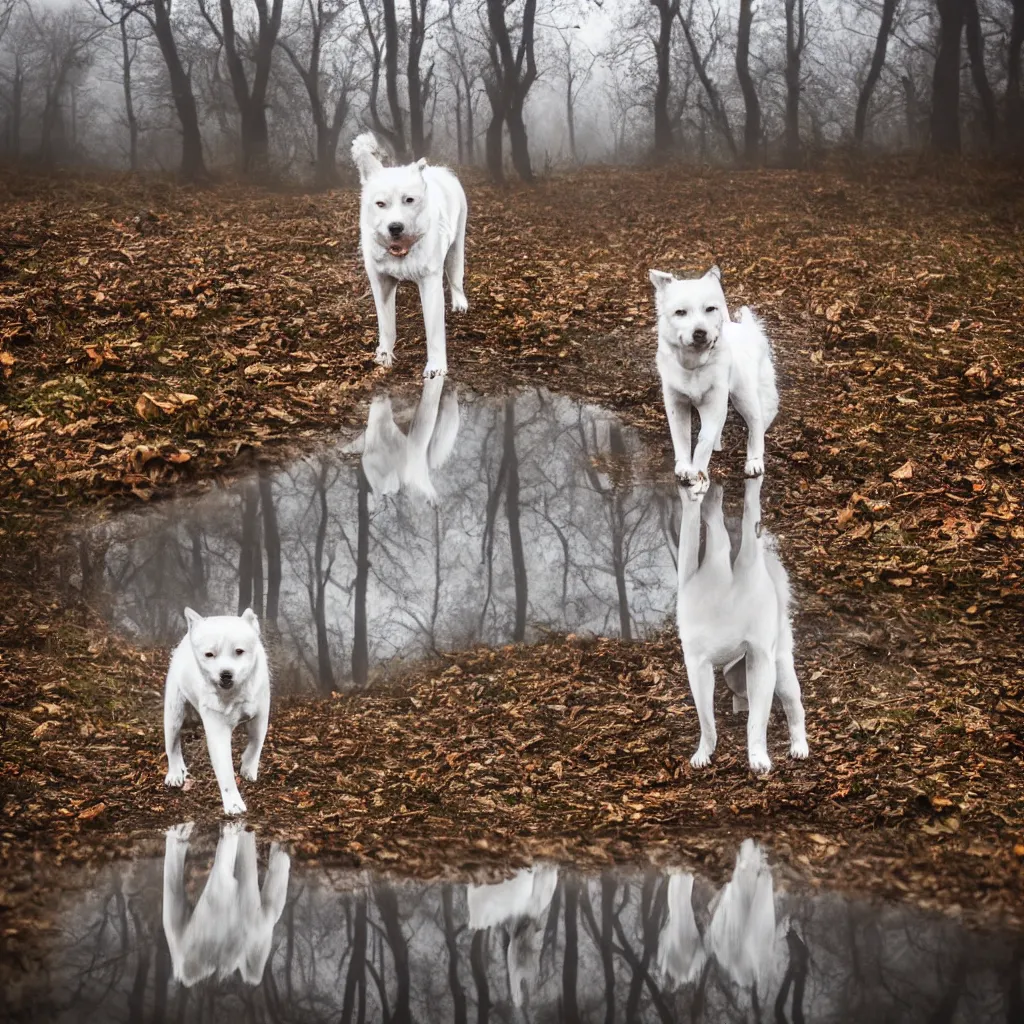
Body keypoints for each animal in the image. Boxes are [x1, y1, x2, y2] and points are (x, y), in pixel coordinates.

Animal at [162, 606, 270, 815]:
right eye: (209, 654)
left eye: (239, 651)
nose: (226, 674)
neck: (233, 694)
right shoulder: (217, 725)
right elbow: (225, 767)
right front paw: (234, 804)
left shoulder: (260, 713)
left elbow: (256, 743)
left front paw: (248, 768)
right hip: (174, 711)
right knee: (172, 743)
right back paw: (175, 774)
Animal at [350, 132, 466, 380]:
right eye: (381, 203)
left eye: (409, 200)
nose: (395, 227)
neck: (400, 251)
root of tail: (440, 169)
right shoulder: (381, 283)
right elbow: (387, 326)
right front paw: (384, 356)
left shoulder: (430, 283)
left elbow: (434, 332)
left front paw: (436, 368)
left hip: (456, 247)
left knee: (456, 278)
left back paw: (460, 304)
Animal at [651, 268, 778, 495]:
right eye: (680, 312)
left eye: (710, 308)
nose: (700, 332)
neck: (694, 366)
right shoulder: (676, 403)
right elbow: (681, 437)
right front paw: (685, 467)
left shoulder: (714, 402)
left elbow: (704, 440)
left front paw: (699, 473)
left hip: (745, 397)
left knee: (756, 425)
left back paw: (754, 461)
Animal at [675, 475, 811, 770]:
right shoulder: (697, 666)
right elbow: (706, 719)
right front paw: (705, 751)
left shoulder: (761, 658)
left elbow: (757, 721)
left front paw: (758, 756)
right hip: (732, 675)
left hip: (783, 671)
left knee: (794, 708)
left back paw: (799, 745)